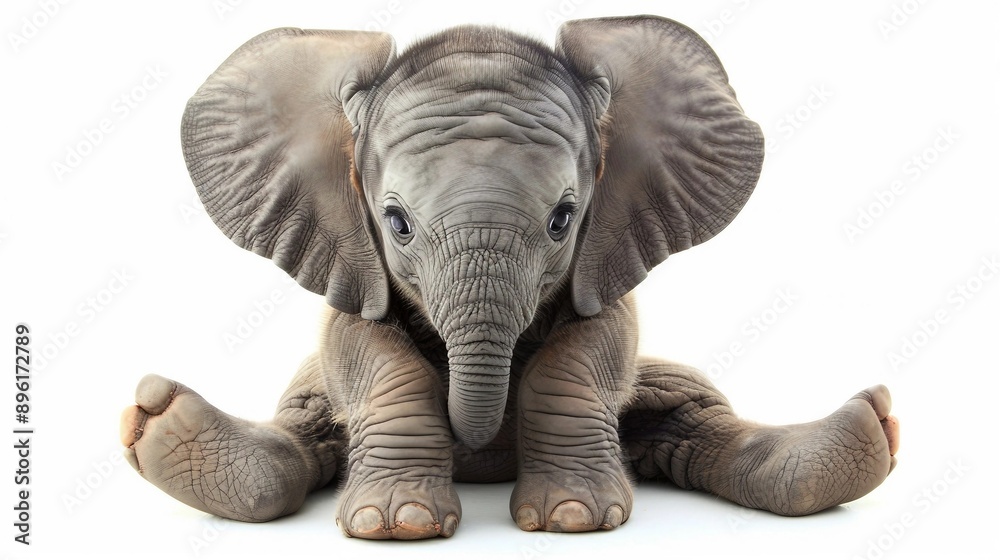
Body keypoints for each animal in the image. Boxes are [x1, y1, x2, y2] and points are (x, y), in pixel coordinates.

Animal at [120, 15, 899, 539]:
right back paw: (164, 420)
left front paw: (573, 519)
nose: (476, 442)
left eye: (563, 218)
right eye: (395, 222)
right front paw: (399, 526)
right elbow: (360, 345)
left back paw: (866, 424)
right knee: (301, 440)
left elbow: (597, 339)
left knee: (695, 419)